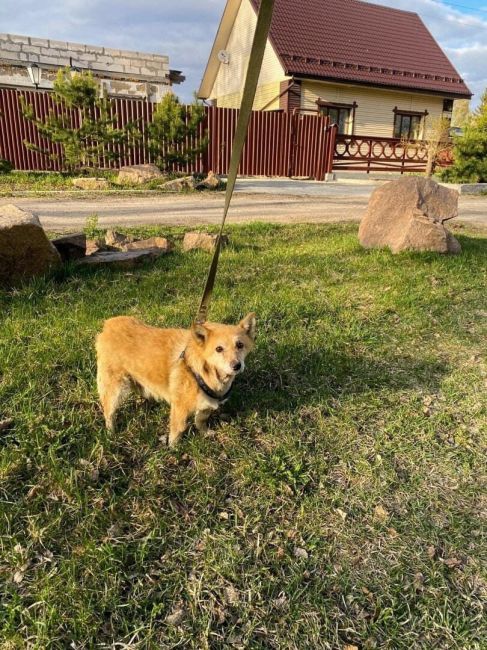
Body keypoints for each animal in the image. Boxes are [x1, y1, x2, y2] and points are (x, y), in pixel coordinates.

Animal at [95, 312, 255, 446]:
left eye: (240, 345)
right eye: (219, 349)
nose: (236, 365)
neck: (203, 371)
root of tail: (108, 325)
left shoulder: (205, 405)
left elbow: (200, 420)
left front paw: (204, 432)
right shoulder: (180, 408)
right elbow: (178, 429)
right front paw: (173, 447)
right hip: (115, 389)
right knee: (109, 412)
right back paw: (111, 432)